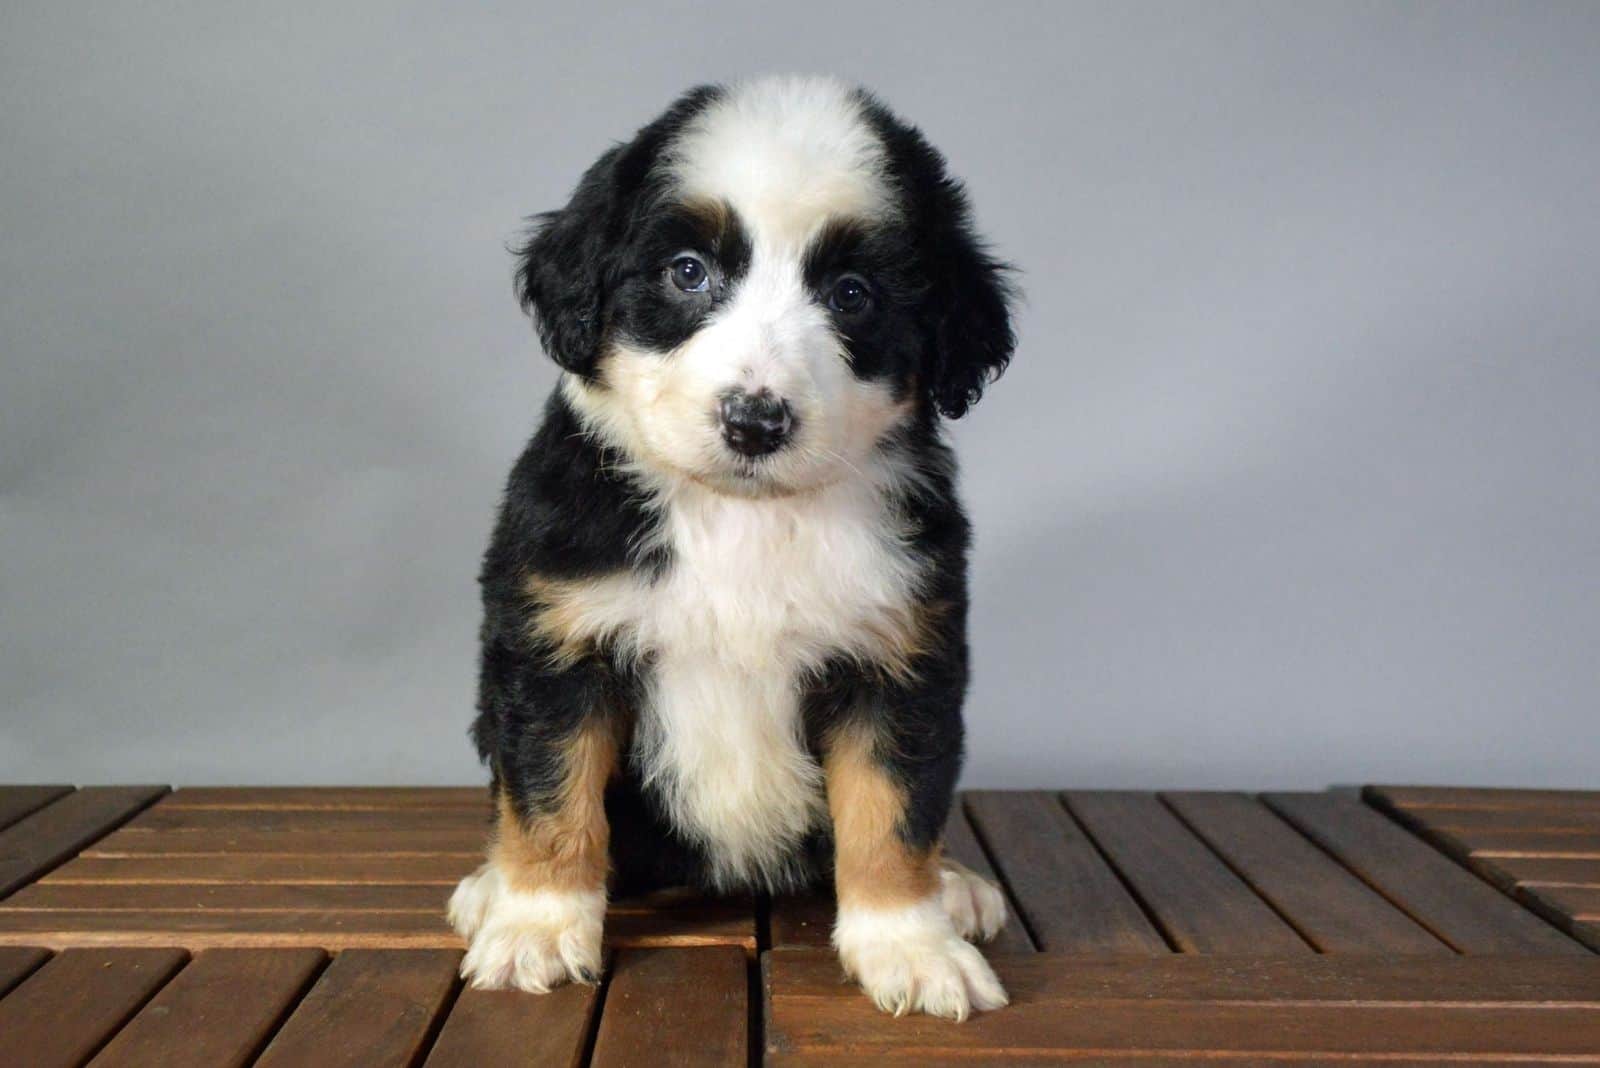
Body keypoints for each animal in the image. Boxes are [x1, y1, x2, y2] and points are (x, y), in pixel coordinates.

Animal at [448, 75, 1024, 1016]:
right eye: (689, 272)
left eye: (853, 293)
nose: (755, 421)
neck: (745, 518)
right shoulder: (558, 643)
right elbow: (551, 795)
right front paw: (536, 925)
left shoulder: (898, 657)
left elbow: (893, 811)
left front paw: (911, 944)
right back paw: (490, 887)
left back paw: (958, 888)